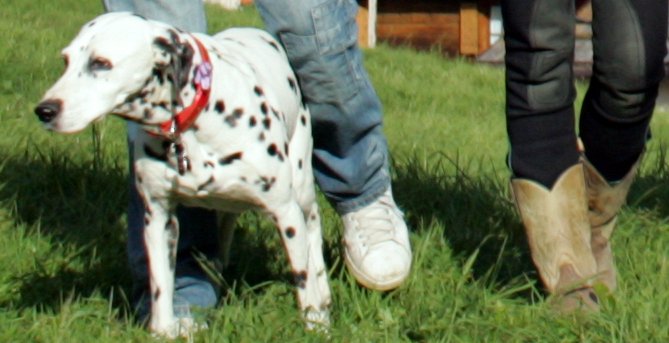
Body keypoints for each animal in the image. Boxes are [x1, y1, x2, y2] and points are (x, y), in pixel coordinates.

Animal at [34, 12, 332, 338]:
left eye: (100, 63)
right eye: (66, 60)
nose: (45, 110)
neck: (197, 123)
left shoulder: (285, 213)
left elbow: (302, 277)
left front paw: (316, 323)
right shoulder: (159, 219)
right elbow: (161, 285)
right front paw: (163, 329)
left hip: (302, 192)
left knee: (313, 235)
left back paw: (323, 289)